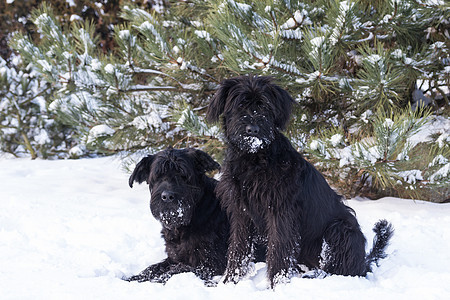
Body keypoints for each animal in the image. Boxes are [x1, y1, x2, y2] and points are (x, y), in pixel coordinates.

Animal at [125, 148, 229, 284]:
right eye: (157, 176)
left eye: (183, 175)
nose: (167, 196)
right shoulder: (173, 258)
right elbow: (152, 269)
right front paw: (133, 278)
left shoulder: (211, 264)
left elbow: (175, 271)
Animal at [207, 75, 394, 286]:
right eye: (240, 104)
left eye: (265, 106)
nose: (253, 129)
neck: (254, 158)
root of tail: (363, 262)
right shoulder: (242, 213)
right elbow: (238, 249)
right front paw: (230, 281)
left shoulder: (280, 212)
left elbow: (279, 250)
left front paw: (276, 285)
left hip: (340, 230)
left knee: (340, 270)